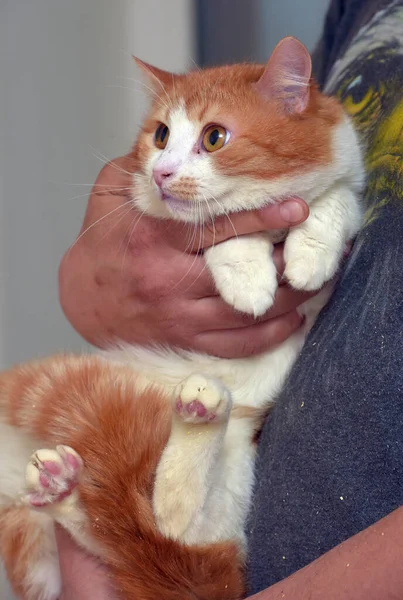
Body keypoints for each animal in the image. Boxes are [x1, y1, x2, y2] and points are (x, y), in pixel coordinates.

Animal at [0, 37, 366, 600]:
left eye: (214, 137)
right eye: (161, 135)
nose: (161, 172)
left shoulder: (345, 174)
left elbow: (336, 200)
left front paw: (311, 252)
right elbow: (222, 226)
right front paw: (247, 274)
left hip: (236, 462)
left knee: (176, 526)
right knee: (157, 524)